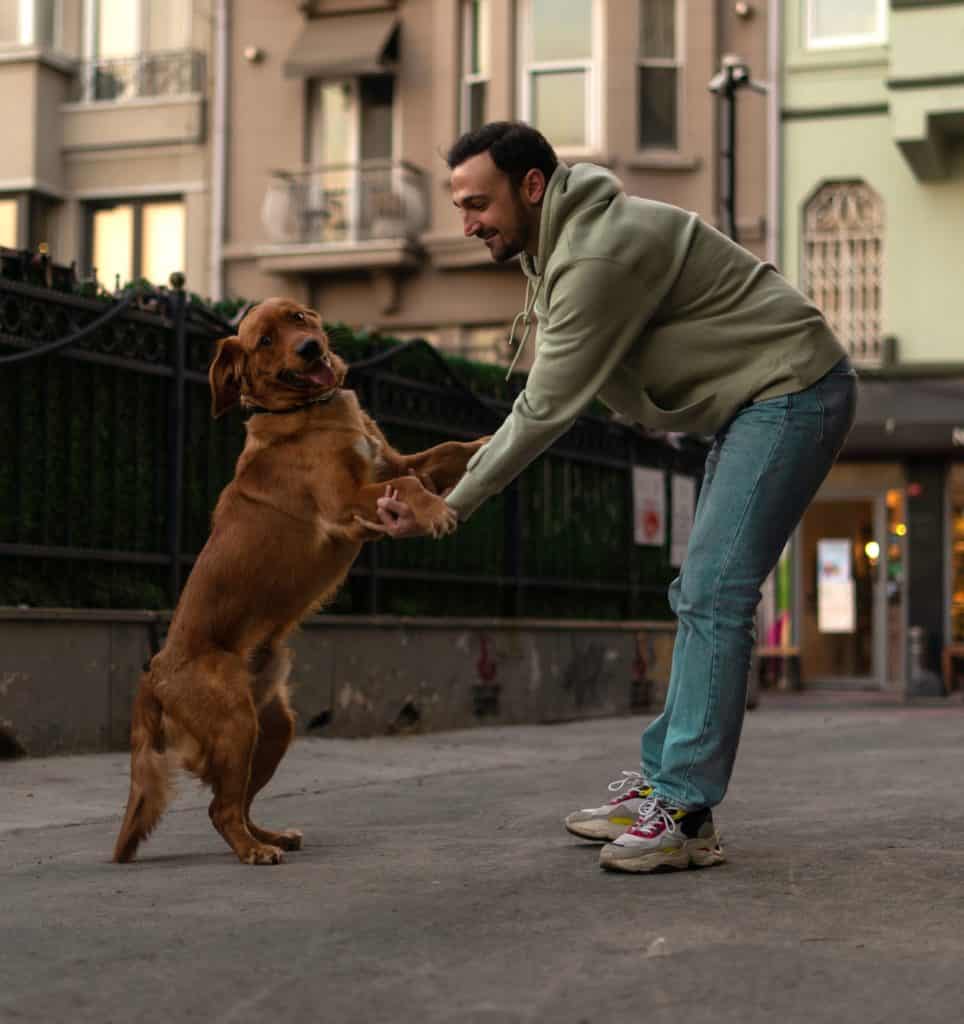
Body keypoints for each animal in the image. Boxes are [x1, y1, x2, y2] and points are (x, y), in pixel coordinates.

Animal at [112, 299, 485, 864]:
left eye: (299, 317)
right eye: (265, 341)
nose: (310, 348)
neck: (311, 411)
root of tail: (153, 671)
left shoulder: (394, 460)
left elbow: (448, 449)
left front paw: (493, 437)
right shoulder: (346, 500)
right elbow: (406, 484)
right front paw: (437, 511)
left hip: (273, 729)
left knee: (234, 802)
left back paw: (269, 836)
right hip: (236, 724)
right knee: (221, 808)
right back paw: (254, 851)